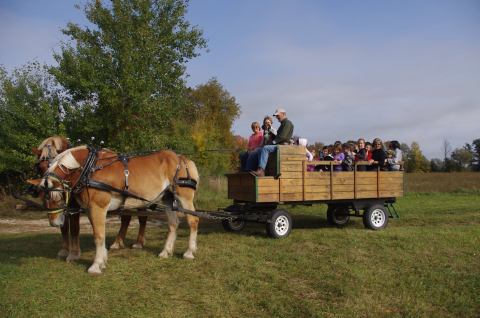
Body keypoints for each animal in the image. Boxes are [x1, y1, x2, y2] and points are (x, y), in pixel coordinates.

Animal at [29, 145, 199, 274]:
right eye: (43, 195)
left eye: (56, 196)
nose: (54, 223)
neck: (89, 169)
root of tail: (182, 158)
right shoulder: (91, 210)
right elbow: (98, 234)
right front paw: (102, 259)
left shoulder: (98, 207)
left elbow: (98, 236)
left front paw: (96, 265)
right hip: (167, 198)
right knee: (173, 224)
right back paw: (165, 252)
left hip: (184, 197)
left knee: (193, 220)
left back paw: (190, 252)